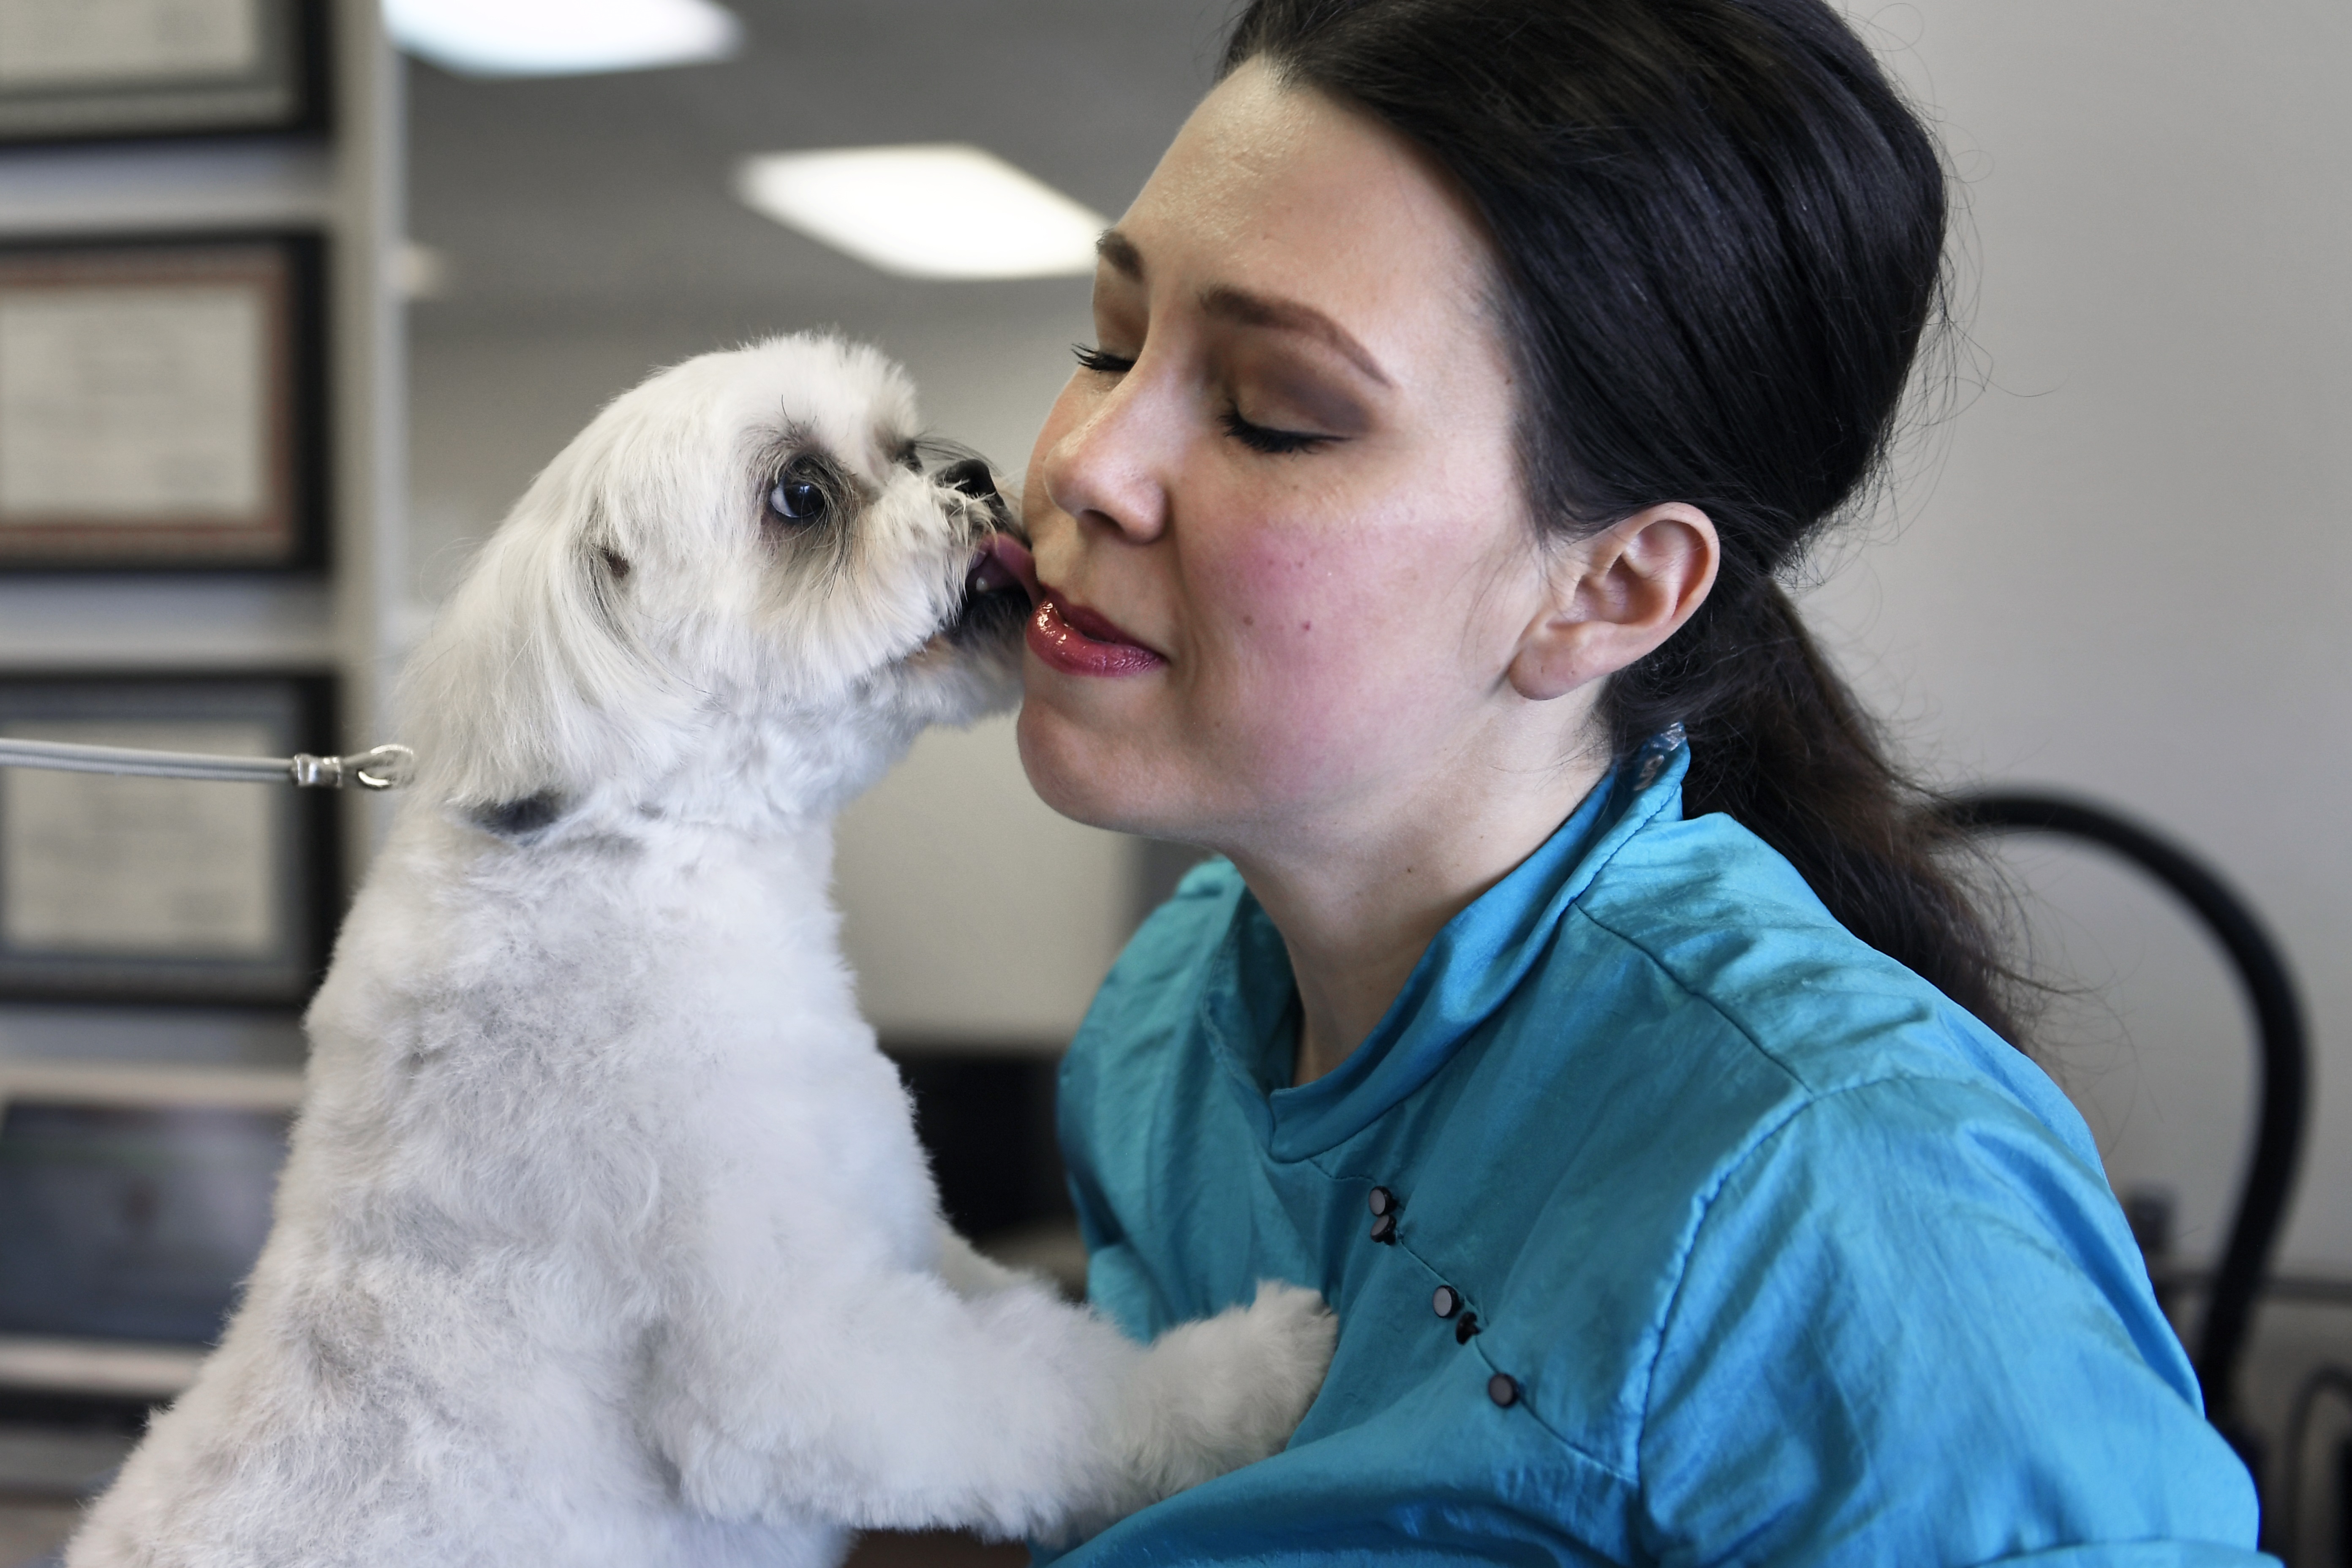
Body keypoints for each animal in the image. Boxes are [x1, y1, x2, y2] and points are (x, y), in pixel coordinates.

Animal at [64, 338, 1336, 1561]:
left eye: (904, 445)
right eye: (801, 494)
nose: (975, 477)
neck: (654, 851)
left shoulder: (901, 1227)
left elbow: (1025, 1308)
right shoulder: (801, 1360)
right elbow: (1064, 1392)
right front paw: (1249, 1373)